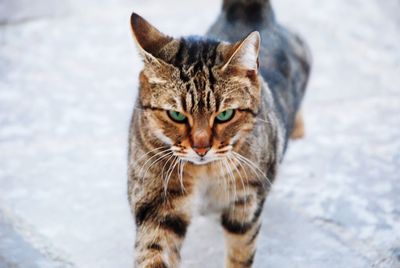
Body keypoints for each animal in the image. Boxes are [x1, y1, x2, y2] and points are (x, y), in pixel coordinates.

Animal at [126, 1, 310, 266]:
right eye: (177, 115)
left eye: (225, 115)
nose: (201, 148)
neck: (204, 172)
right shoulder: (157, 205)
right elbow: (154, 252)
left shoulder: (245, 205)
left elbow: (241, 254)